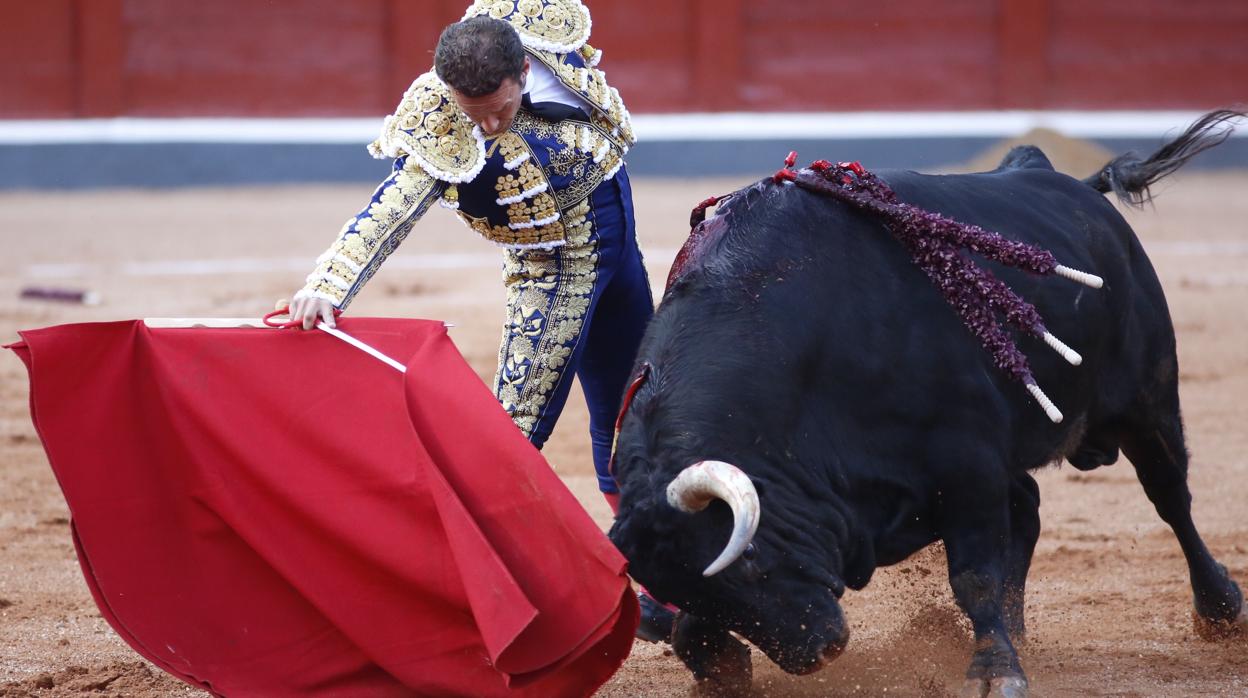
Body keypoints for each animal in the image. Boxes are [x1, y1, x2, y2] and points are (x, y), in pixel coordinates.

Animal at [609, 111, 1243, 694]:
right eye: (688, 588)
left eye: (750, 561)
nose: (819, 650)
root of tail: (1071, 184)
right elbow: (691, 628)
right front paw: (718, 667)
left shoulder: (966, 464)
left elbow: (974, 575)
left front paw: (995, 672)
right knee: (1030, 508)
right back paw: (1017, 630)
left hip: (1147, 398)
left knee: (1170, 496)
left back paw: (1219, 609)